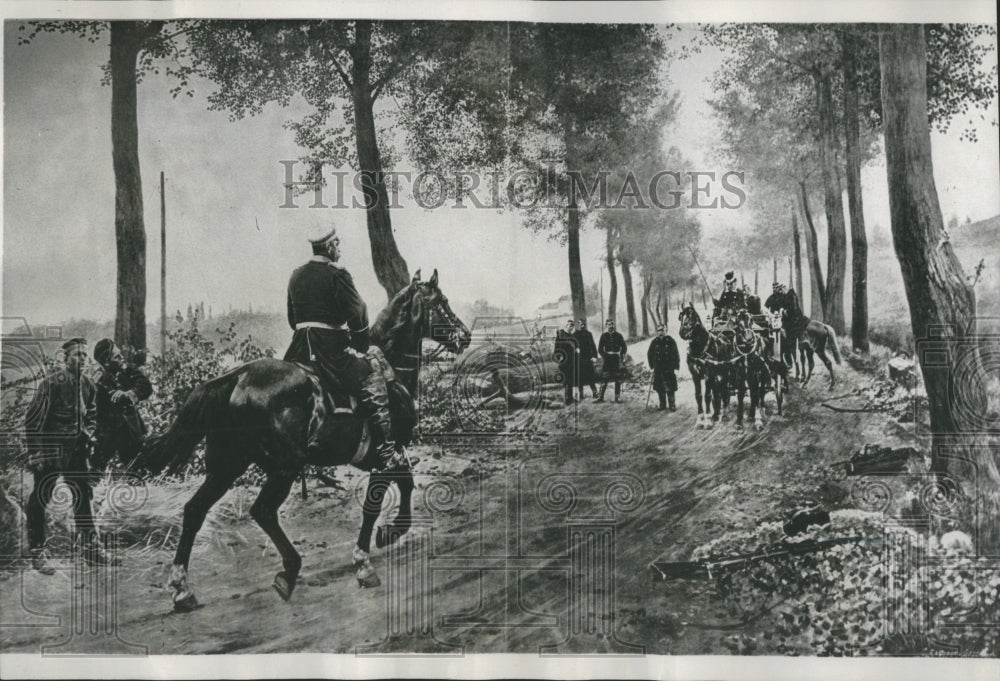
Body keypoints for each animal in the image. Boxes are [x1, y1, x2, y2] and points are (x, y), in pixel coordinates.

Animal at [134, 270, 472, 612]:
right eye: (442, 302)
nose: (465, 336)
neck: (391, 368)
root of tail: (236, 378)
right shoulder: (387, 454)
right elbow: (377, 501)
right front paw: (367, 557)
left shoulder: (383, 457)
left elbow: (404, 483)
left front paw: (389, 533)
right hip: (283, 467)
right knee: (262, 511)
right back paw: (289, 569)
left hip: (227, 467)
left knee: (194, 510)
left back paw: (182, 589)